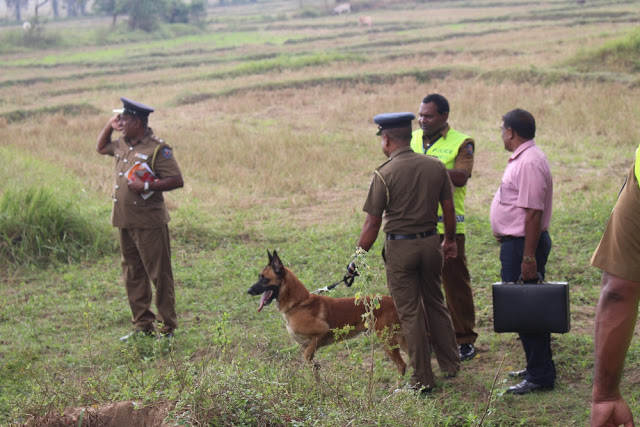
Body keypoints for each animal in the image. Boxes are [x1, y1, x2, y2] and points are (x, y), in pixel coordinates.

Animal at [248, 249, 408, 376]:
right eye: (259, 277)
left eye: (264, 279)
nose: (248, 291)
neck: (298, 303)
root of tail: (393, 301)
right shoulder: (305, 345)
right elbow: (312, 369)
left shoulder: (321, 333)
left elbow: (306, 357)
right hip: (399, 339)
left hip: (387, 341)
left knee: (402, 365)